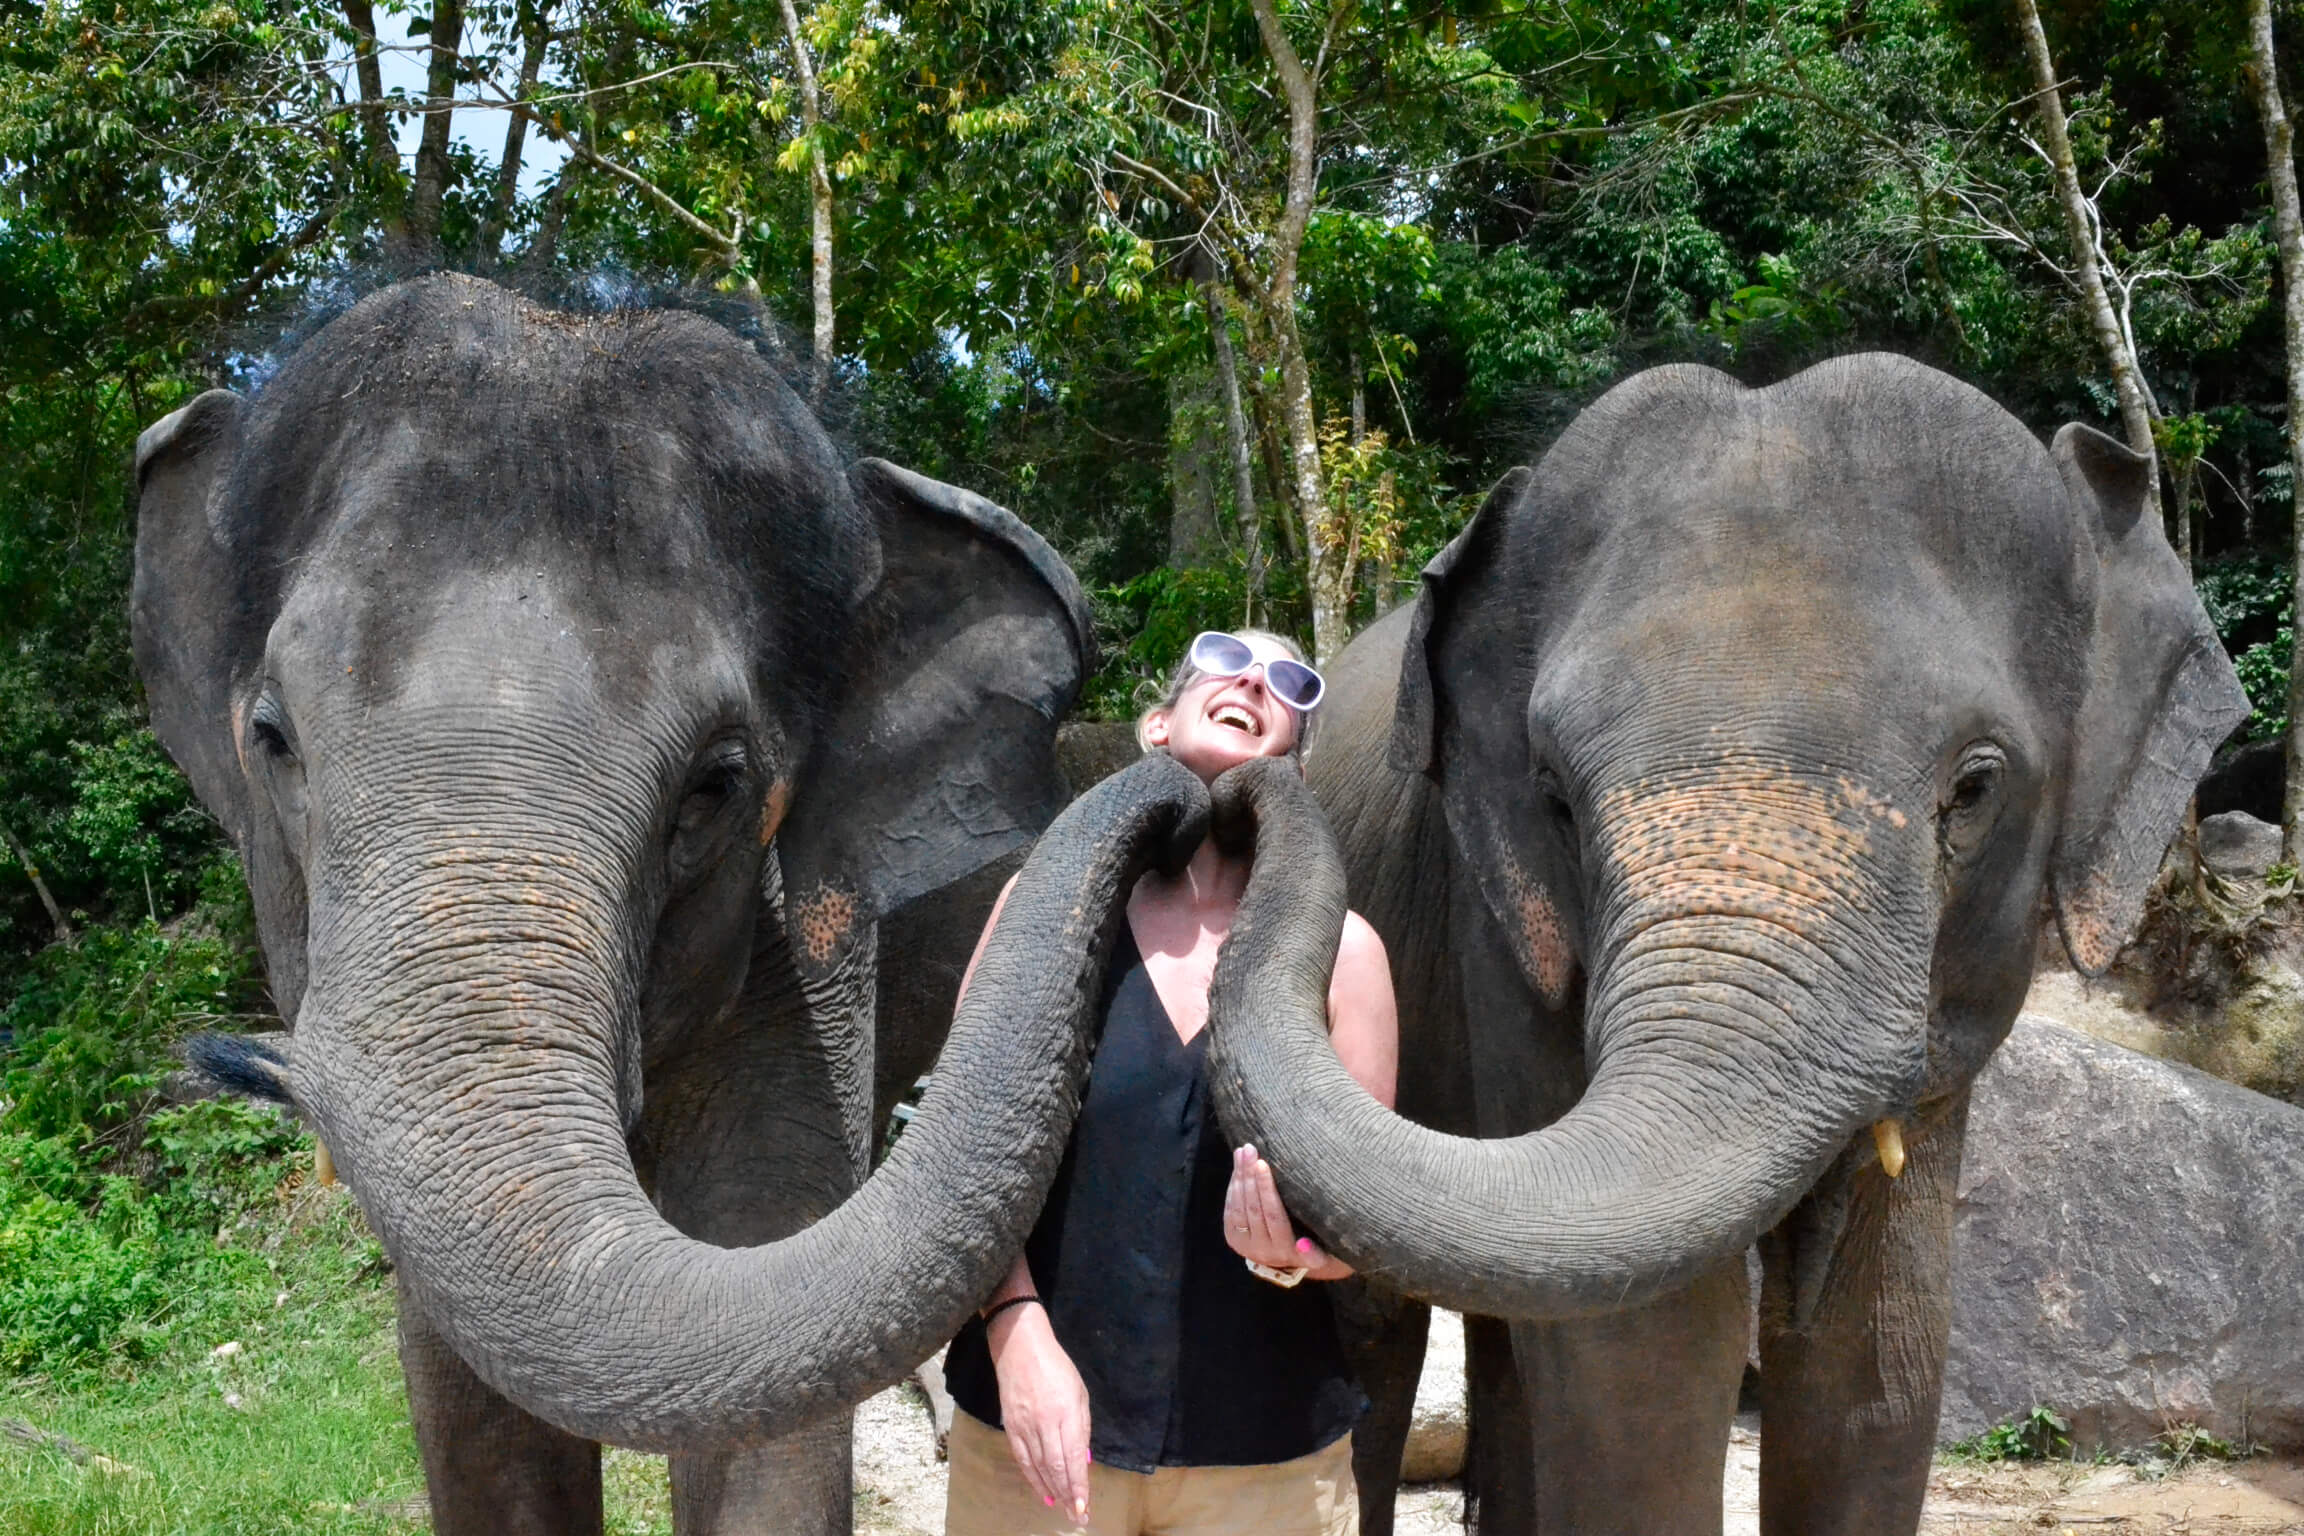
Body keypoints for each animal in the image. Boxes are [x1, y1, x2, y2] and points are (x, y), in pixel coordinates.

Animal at [132, 271, 1211, 1535]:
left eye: (715, 784)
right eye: (271, 737)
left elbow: (766, 1361)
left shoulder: (807, 946)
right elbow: (468, 1402)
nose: (1186, 790)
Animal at [1194, 355, 2247, 1535]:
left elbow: (1876, 1352)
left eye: (1975, 788)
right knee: (1387, 1330)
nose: (1233, 790)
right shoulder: (1500, 931)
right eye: (1553, 798)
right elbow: (1645, 1346)